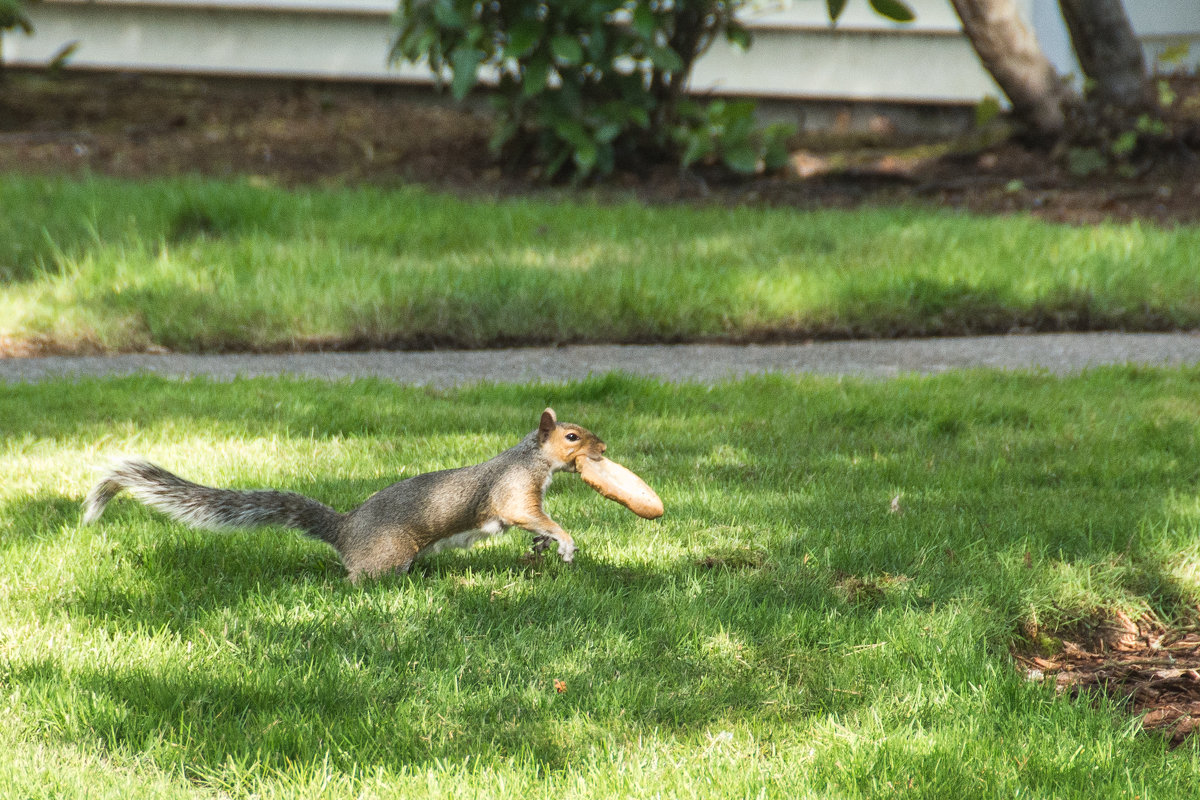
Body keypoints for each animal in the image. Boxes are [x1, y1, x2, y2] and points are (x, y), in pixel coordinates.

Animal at [82, 410, 609, 578]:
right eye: (571, 437)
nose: (604, 448)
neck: (529, 459)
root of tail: (344, 530)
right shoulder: (514, 492)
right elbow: (529, 514)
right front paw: (563, 541)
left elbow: (534, 525)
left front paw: (542, 544)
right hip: (387, 556)